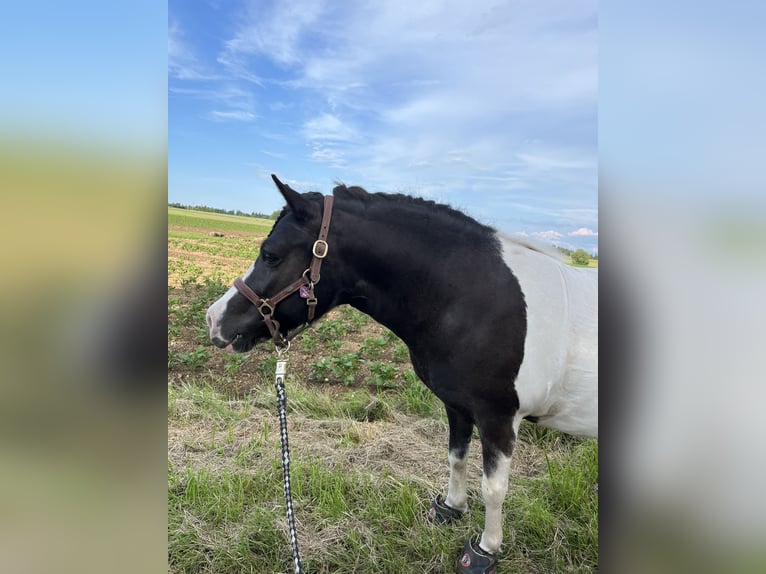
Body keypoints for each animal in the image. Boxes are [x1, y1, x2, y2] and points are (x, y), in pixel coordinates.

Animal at [206, 177, 600, 574]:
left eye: (270, 255)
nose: (213, 319)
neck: (472, 298)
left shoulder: (499, 418)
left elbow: (493, 489)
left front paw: (485, 549)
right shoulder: (458, 407)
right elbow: (456, 457)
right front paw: (451, 509)